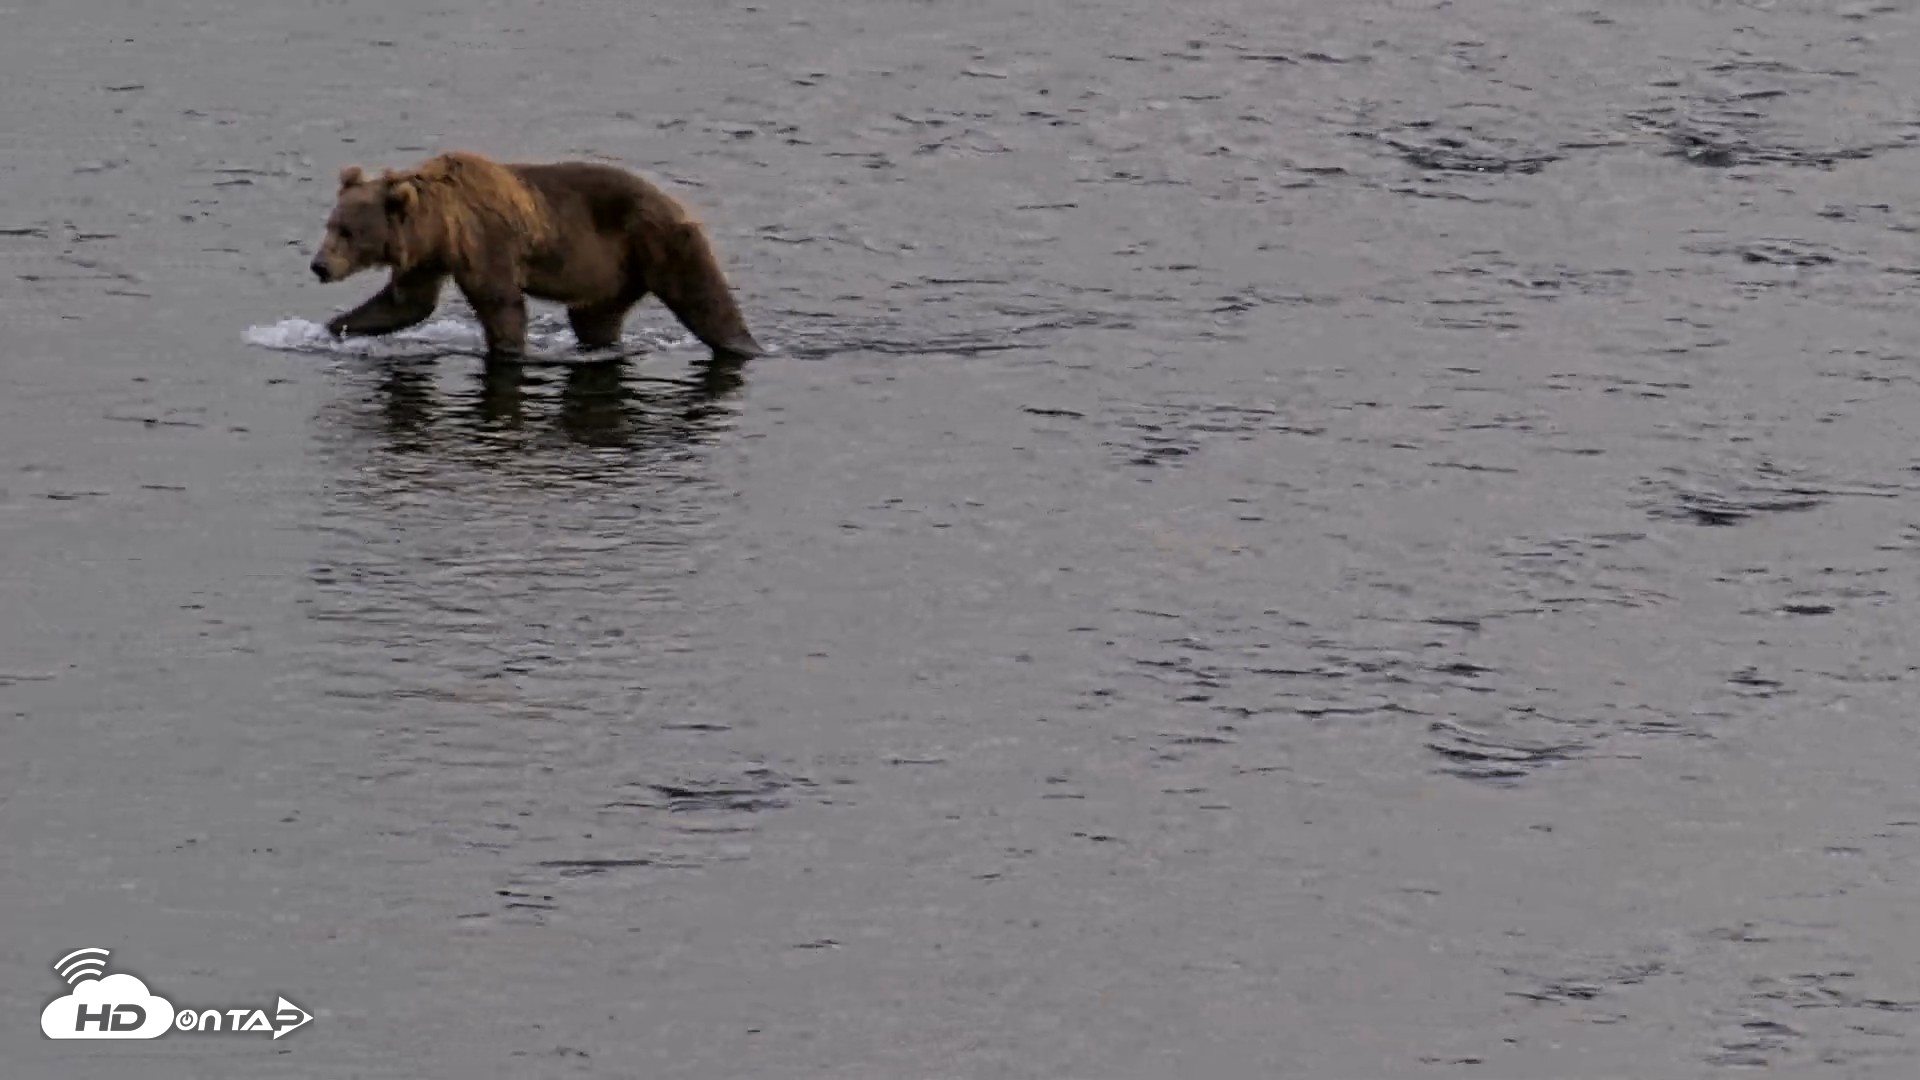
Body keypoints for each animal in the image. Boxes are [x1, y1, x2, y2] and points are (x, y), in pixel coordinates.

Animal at [308, 150, 762, 361]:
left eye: (347, 232)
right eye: (329, 224)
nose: (319, 266)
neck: (439, 225)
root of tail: (678, 204)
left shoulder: (485, 241)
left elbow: (500, 301)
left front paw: (507, 349)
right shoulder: (427, 258)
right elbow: (406, 303)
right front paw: (334, 327)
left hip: (657, 241)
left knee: (703, 297)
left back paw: (745, 344)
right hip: (609, 275)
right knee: (595, 318)